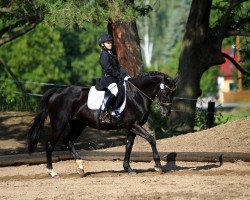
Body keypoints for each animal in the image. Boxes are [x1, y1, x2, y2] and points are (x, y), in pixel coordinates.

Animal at [27, 70, 178, 177]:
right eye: (165, 91)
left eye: (173, 93)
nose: (166, 113)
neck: (137, 95)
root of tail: (58, 91)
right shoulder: (133, 124)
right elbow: (151, 139)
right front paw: (158, 165)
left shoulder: (132, 127)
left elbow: (128, 146)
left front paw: (128, 168)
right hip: (59, 124)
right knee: (50, 144)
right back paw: (52, 172)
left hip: (78, 124)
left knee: (68, 141)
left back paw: (81, 168)